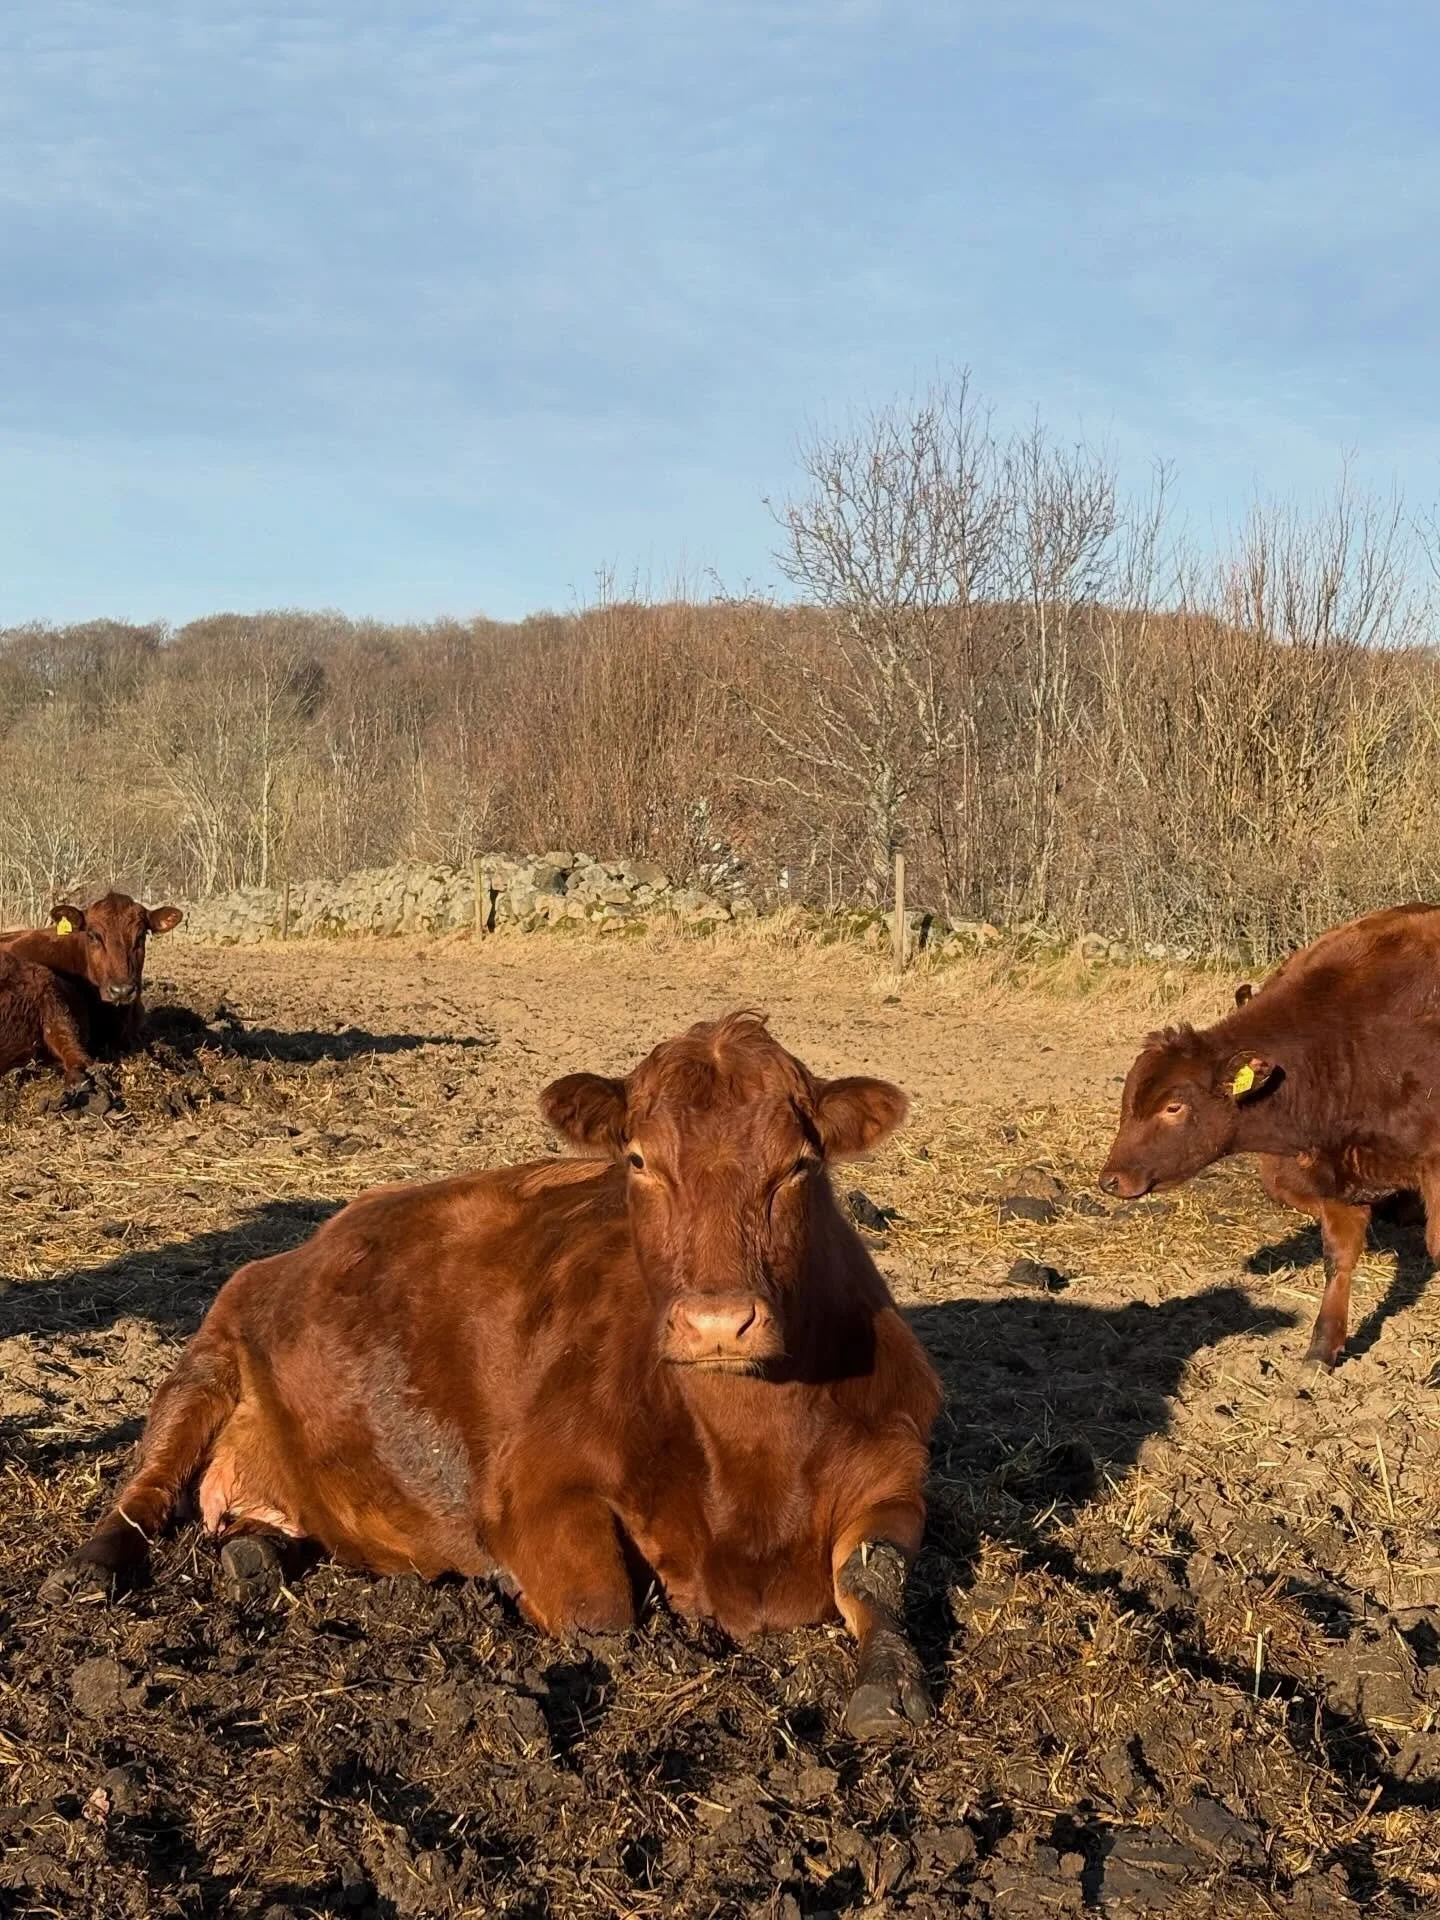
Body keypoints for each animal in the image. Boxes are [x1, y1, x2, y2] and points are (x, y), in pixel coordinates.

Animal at [42, 1012, 942, 1740]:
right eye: (640, 1160)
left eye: (798, 1166)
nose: (717, 1323)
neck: (751, 1474)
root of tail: (305, 1242)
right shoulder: (536, 1489)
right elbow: (603, 1615)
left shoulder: (896, 1469)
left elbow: (877, 1576)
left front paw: (889, 1686)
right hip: (206, 1362)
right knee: (143, 1488)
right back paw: (93, 1567)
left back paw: (257, 1555)